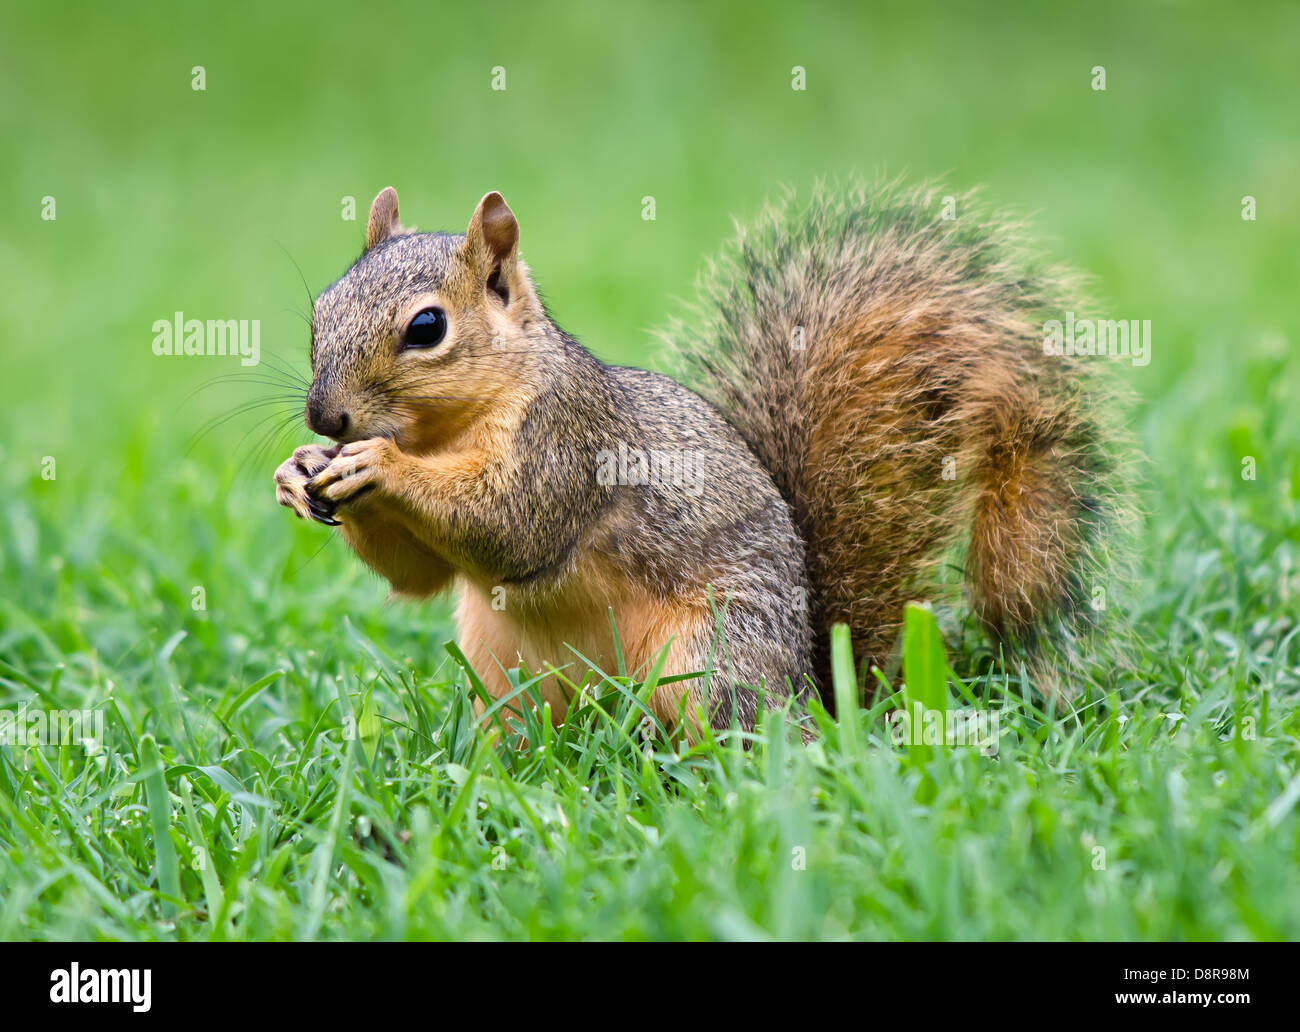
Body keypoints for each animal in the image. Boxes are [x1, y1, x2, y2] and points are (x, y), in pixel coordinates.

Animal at [274, 181, 1131, 736]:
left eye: (427, 328)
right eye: (318, 312)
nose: (325, 415)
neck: (444, 430)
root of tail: (814, 692)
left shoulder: (568, 442)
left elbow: (513, 527)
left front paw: (378, 465)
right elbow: (417, 577)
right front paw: (299, 470)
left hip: (711, 656)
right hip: (500, 669)